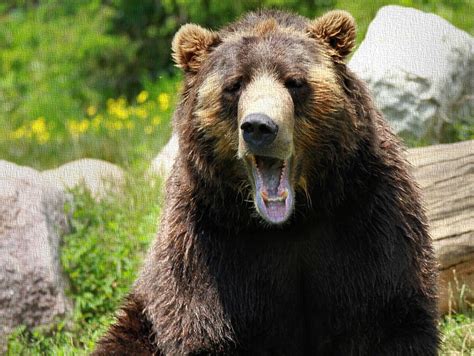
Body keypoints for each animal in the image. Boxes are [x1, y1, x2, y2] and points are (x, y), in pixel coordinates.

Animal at [94, 9, 438, 356]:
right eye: (234, 85)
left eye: (295, 82)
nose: (259, 127)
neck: (290, 222)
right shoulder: (207, 239)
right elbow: (203, 324)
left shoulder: (364, 211)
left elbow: (385, 314)